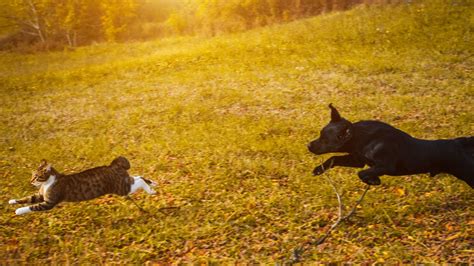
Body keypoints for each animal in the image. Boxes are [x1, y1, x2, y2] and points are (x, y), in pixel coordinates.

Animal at [9, 157, 156, 215]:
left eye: (36, 176)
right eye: (32, 175)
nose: (31, 181)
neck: (46, 184)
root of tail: (113, 165)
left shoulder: (49, 202)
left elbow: (32, 206)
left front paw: (19, 211)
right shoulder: (40, 195)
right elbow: (28, 198)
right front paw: (12, 201)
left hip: (122, 188)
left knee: (139, 181)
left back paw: (150, 190)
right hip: (124, 183)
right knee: (137, 177)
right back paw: (153, 183)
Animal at [308, 103, 474, 187]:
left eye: (324, 139)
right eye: (320, 134)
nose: (308, 145)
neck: (363, 138)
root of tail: (460, 142)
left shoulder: (385, 166)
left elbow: (362, 173)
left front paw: (373, 180)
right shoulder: (357, 160)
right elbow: (334, 158)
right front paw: (319, 169)